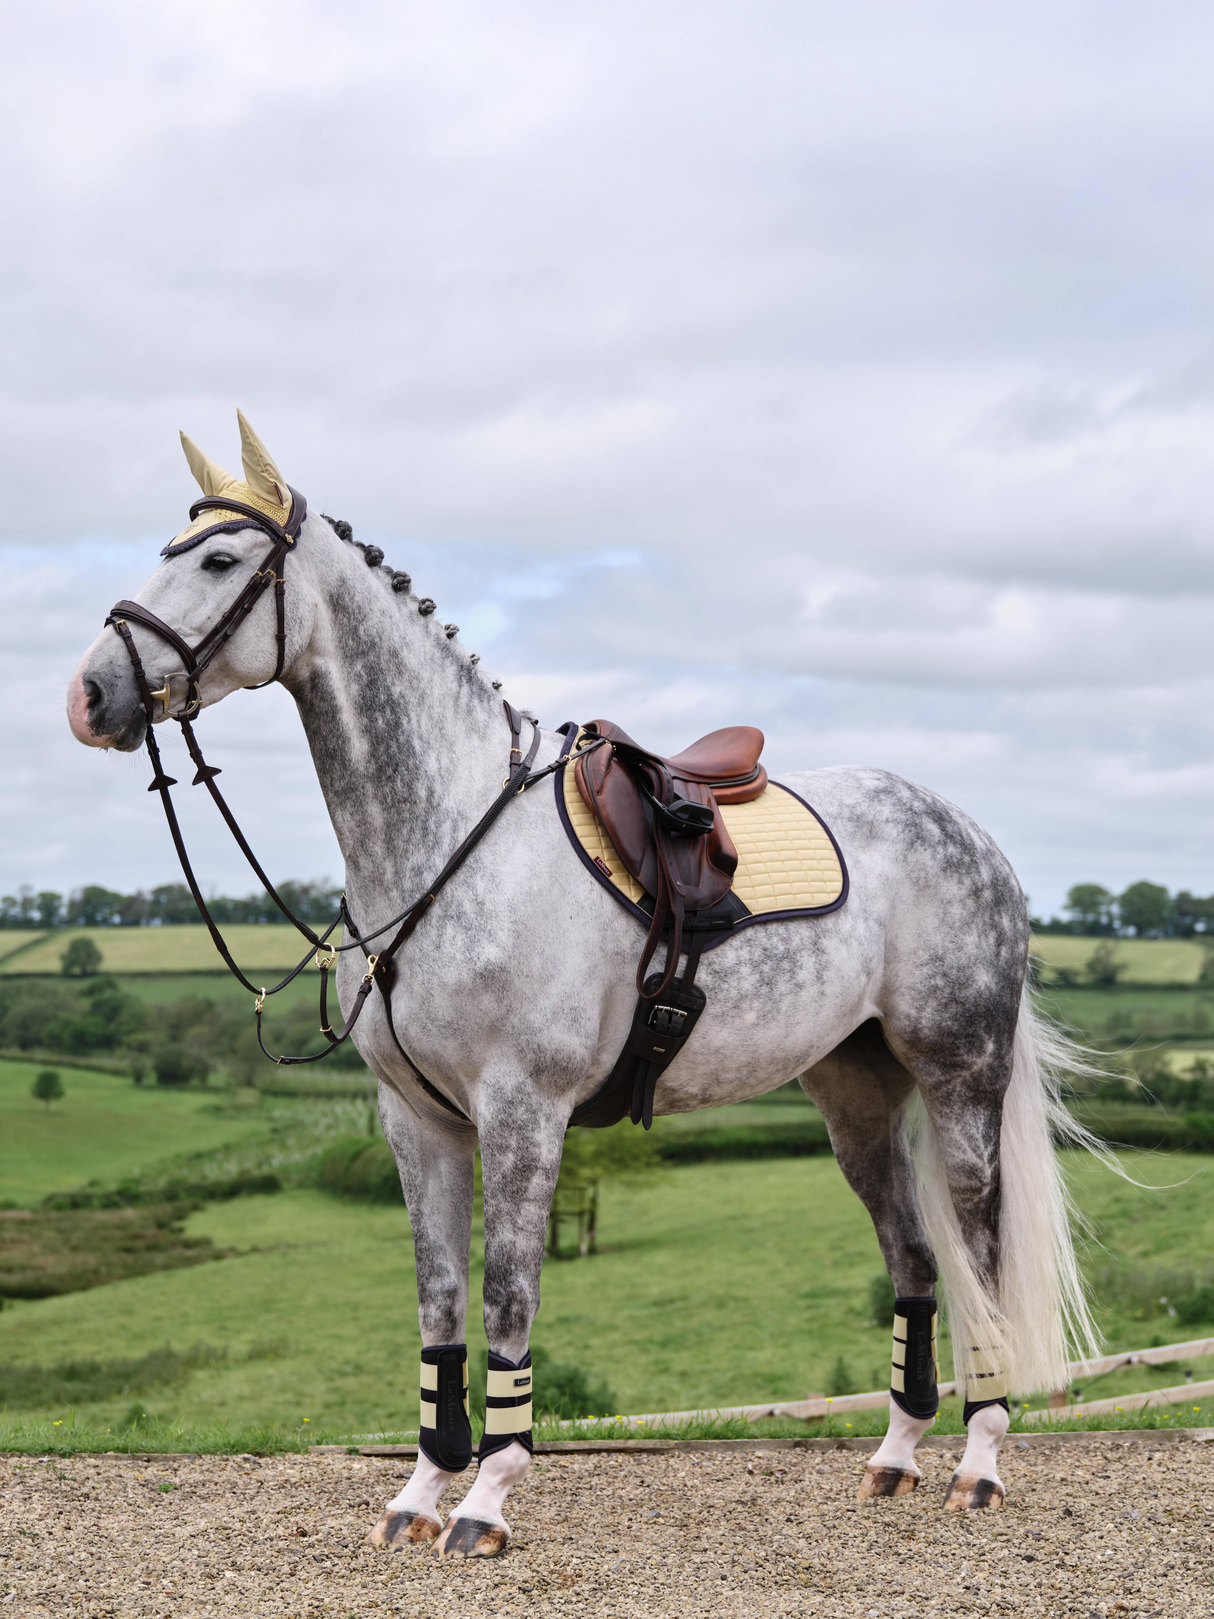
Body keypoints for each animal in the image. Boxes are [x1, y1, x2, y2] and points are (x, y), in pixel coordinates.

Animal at [71, 417, 1107, 1554]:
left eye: (219, 559)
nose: (90, 694)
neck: (451, 836)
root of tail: (969, 831)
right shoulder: (416, 1121)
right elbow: (440, 1303)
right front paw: (420, 1491)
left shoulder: (524, 1110)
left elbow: (507, 1298)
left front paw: (484, 1499)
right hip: (854, 1098)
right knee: (915, 1260)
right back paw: (894, 1454)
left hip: (959, 1076)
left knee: (979, 1248)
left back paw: (979, 1459)